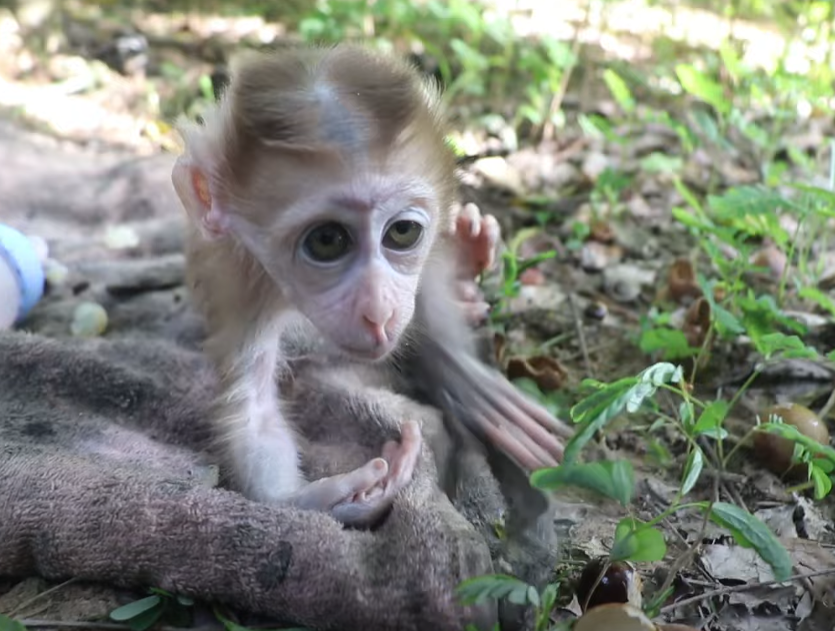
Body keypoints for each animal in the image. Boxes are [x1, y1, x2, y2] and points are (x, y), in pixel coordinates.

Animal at [170, 43, 574, 529]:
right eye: (327, 240)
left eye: (402, 232)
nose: (379, 311)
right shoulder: (240, 277)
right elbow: (251, 403)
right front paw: (331, 498)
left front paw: (457, 372)